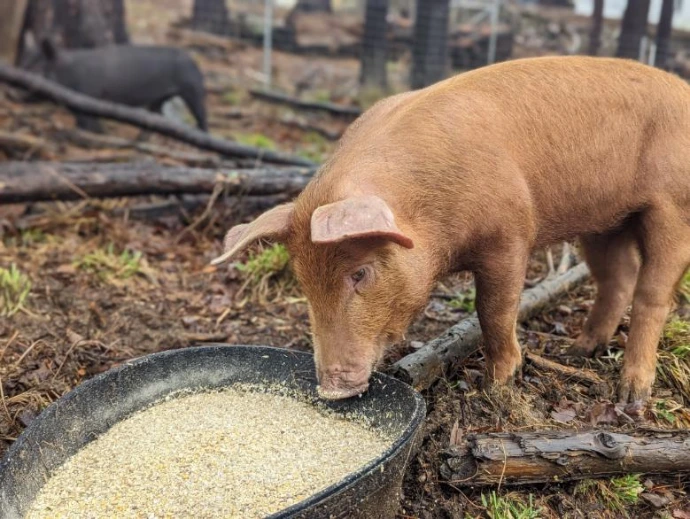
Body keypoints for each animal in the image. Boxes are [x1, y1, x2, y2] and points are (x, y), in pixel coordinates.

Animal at [25, 38, 207, 133]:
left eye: (37, 68)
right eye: (27, 64)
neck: (69, 71)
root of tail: (193, 61)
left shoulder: (89, 94)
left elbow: (87, 122)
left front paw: (94, 133)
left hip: (192, 89)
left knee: (201, 116)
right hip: (159, 98)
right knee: (155, 117)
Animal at [211, 56, 690, 405]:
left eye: (360, 273)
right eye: (304, 284)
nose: (331, 389)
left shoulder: (510, 235)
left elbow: (493, 310)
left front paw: (496, 386)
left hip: (672, 206)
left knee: (653, 294)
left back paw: (630, 396)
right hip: (606, 219)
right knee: (617, 277)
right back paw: (578, 350)